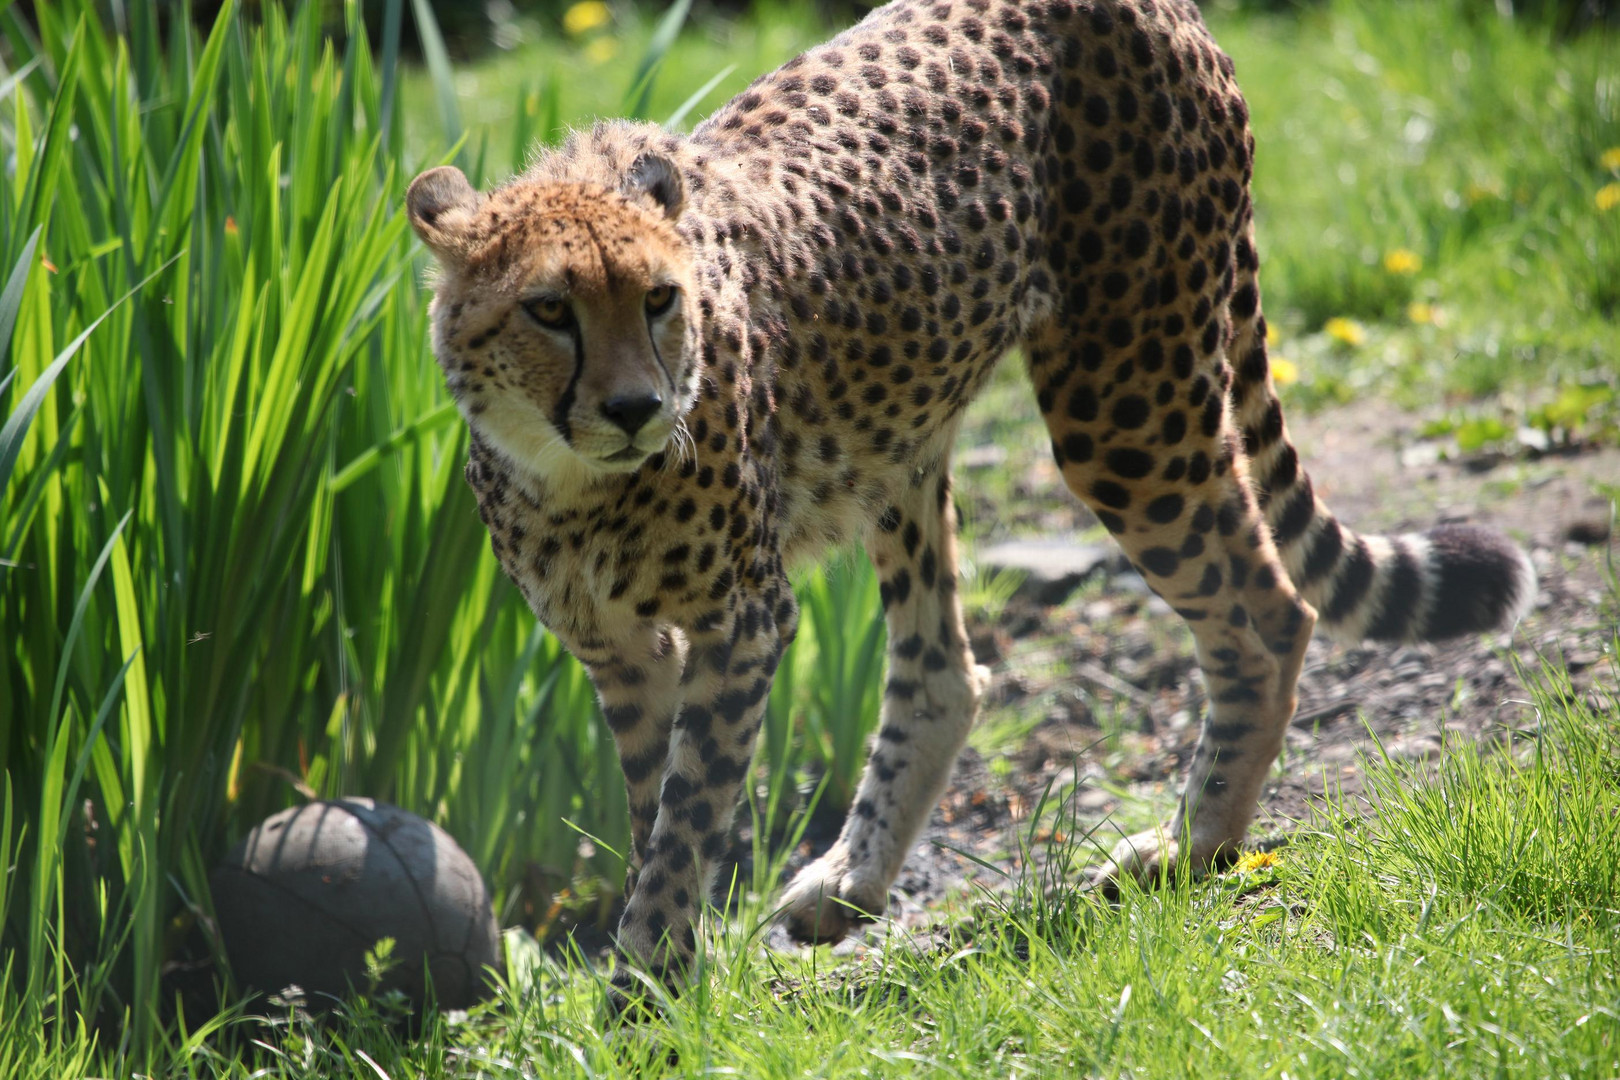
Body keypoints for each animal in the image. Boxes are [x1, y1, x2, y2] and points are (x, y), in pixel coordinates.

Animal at [405, 0, 1529, 1003]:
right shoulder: (620, 649)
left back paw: (1192, 846)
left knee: (1269, 610)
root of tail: (1157, 7)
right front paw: (664, 973)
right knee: (946, 665)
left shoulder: (742, 620)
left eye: (657, 299)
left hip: (1125, 396)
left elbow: (688, 814)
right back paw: (854, 881)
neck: (573, 480)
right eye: (549, 309)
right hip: (905, 439)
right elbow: (653, 810)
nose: (638, 408)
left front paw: (647, 995)